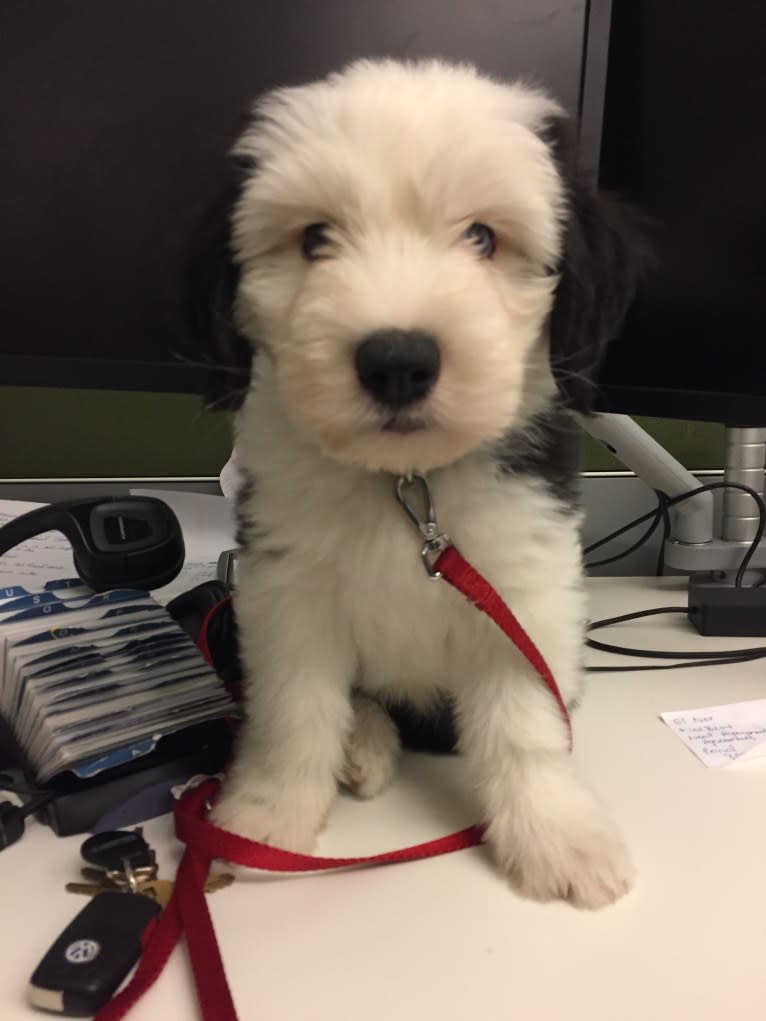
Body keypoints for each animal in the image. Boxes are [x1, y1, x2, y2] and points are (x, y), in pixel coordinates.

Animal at [185, 59, 641, 910]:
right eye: (315, 237)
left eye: (484, 237)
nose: (397, 360)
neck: (405, 484)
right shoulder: (285, 587)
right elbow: (293, 711)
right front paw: (263, 819)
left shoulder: (520, 583)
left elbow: (526, 721)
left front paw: (558, 834)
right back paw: (362, 744)